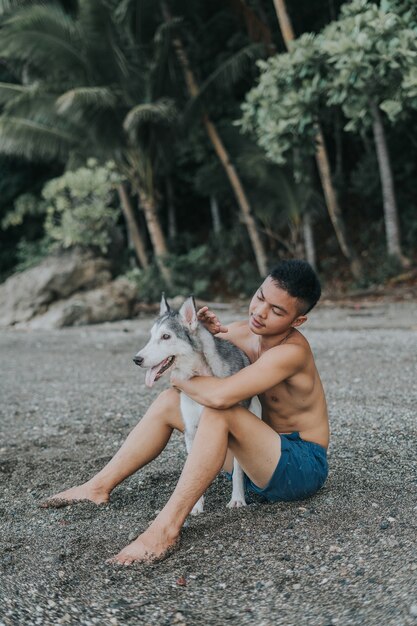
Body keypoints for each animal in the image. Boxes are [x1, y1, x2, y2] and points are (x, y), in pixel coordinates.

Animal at [133, 292, 260, 512]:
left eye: (166, 336)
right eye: (151, 336)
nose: (136, 359)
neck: (201, 377)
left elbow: (237, 470)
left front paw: (237, 499)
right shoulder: (191, 431)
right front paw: (196, 505)